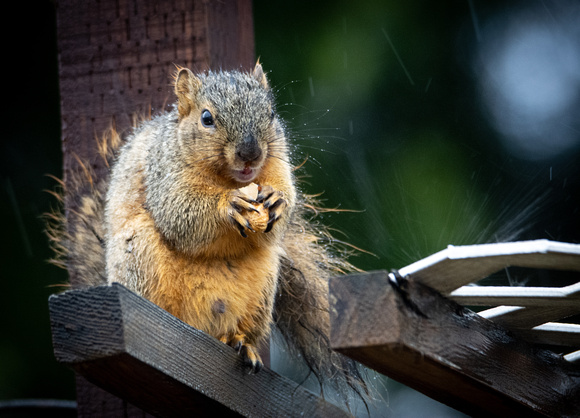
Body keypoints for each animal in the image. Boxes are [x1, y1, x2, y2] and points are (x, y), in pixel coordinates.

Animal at [47, 64, 370, 404]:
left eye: (270, 113)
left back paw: (240, 343)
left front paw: (277, 200)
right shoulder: (163, 175)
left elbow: (283, 202)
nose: (250, 153)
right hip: (140, 257)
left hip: (262, 290)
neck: (228, 179)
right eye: (206, 118)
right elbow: (179, 213)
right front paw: (226, 205)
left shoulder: (277, 163)